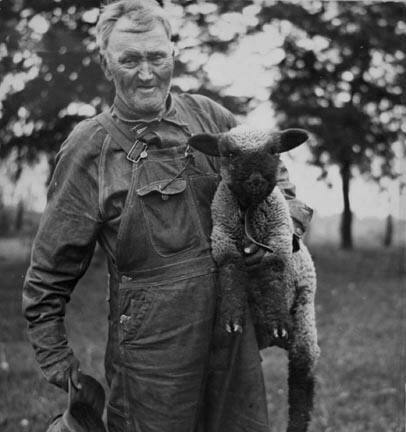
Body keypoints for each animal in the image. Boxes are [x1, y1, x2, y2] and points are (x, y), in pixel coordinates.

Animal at [188, 125, 320, 432]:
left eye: (273, 150)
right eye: (228, 153)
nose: (256, 181)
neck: (249, 211)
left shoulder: (279, 240)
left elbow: (273, 275)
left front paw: (278, 322)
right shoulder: (223, 239)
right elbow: (231, 274)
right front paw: (232, 319)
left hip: (304, 326)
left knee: (301, 384)